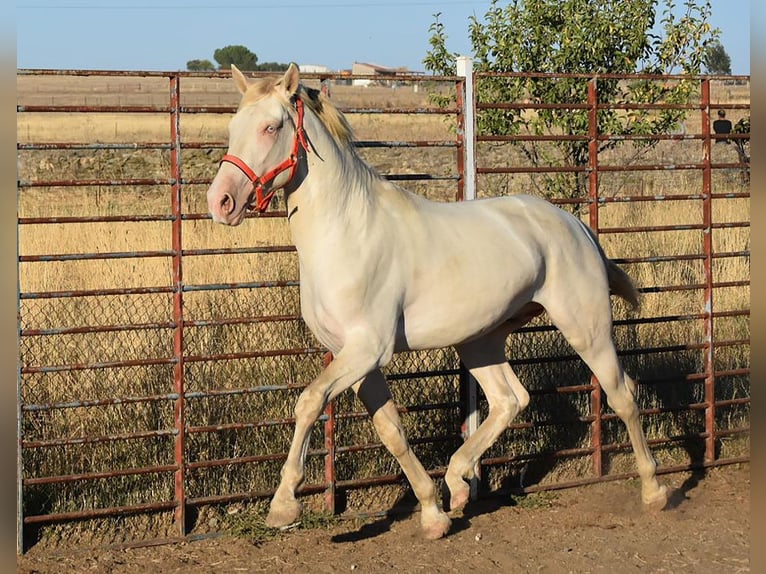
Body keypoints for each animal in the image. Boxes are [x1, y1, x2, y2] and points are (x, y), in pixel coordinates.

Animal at [207, 65, 668, 544]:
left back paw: (654, 490)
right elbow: (391, 430)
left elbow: (310, 402)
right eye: (232, 128)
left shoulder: (367, 349)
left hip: (586, 327)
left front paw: (283, 505)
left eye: (271, 127)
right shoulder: (357, 360)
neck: (347, 233)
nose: (220, 202)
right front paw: (433, 514)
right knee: (509, 399)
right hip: (480, 341)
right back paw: (459, 484)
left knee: (622, 394)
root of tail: (576, 225)